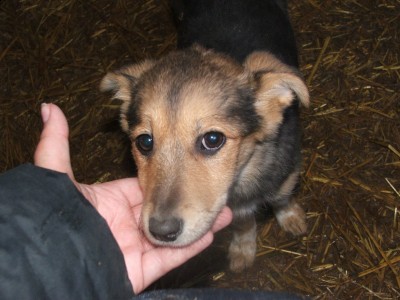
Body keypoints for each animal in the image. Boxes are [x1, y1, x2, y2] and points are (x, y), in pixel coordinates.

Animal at [100, 0, 310, 272]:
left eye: (212, 140)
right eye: (144, 142)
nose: (162, 231)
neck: (246, 174)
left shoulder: (288, 173)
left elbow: (282, 197)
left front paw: (291, 217)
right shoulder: (236, 207)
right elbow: (244, 222)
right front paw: (243, 248)